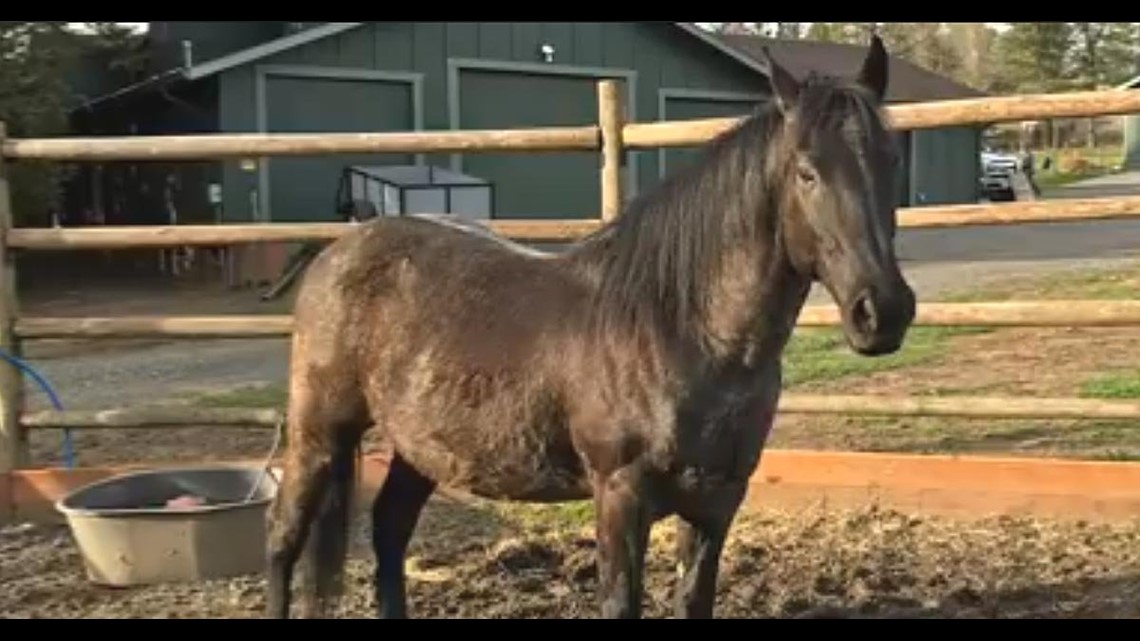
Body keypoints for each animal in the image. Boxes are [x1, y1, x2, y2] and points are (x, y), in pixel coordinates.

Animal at [264, 34, 916, 620]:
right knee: (283, 539)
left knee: (390, 530)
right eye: (807, 172)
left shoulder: (716, 502)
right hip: (319, 432)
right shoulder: (620, 498)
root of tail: (337, 250)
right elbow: (619, 603)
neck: (683, 332)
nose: (883, 311)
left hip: (420, 446)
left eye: (891, 160)